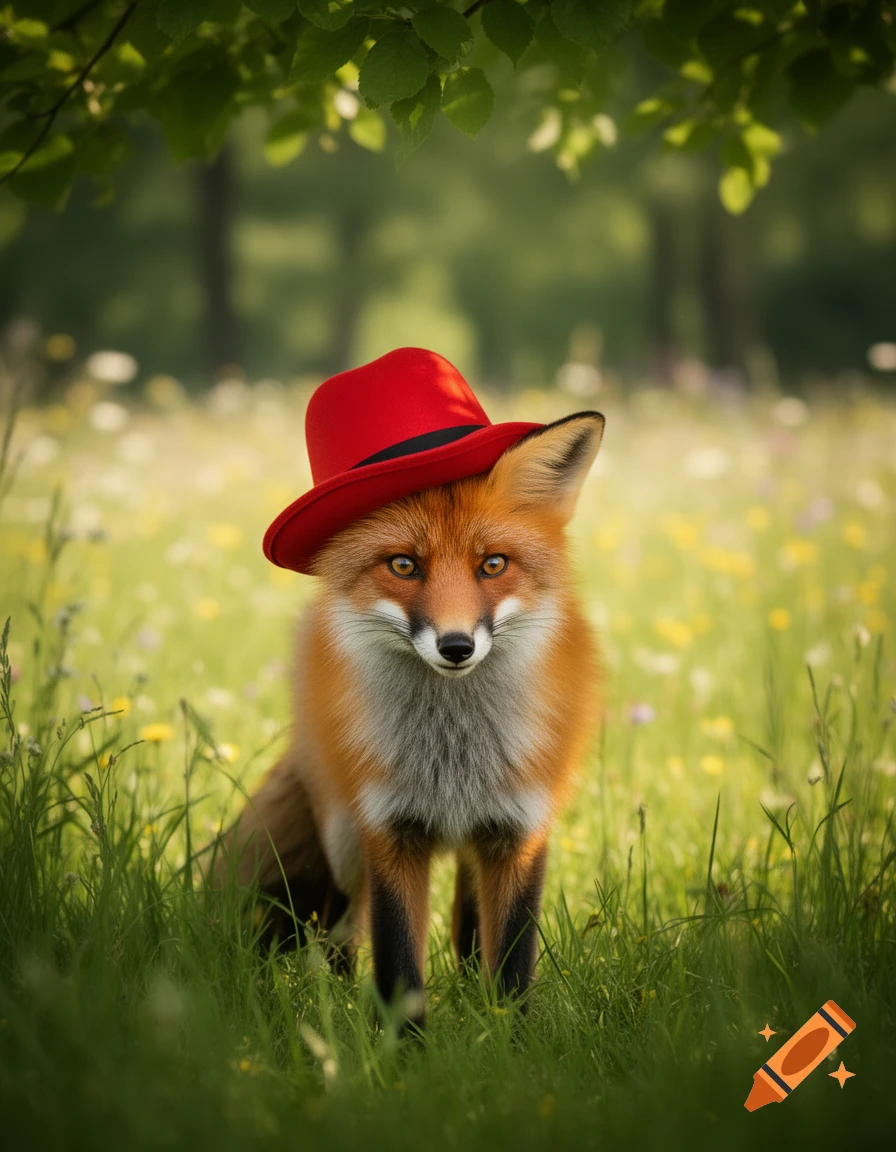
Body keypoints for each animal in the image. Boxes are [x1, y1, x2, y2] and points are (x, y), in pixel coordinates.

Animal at [213, 411, 604, 1029]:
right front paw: (404, 1048)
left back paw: (469, 990)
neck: (452, 757)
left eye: (492, 564)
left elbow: (512, 960)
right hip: (342, 839)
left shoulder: (521, 829)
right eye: (404, 565)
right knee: (342, 930)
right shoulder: (389, 829)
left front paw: (511, 1035)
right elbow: (397, 962)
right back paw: (340, 998)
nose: (456, 646)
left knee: (467, 918)